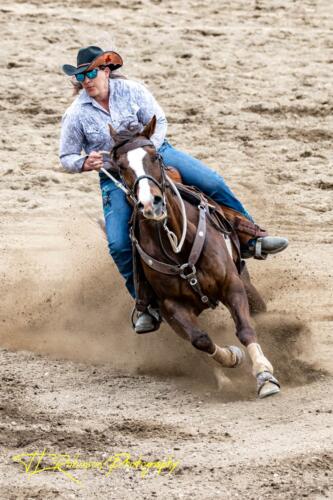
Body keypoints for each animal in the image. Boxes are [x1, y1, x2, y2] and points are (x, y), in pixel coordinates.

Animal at [105, 116, 278, 398]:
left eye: (155, 156)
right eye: (120, 167)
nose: (151, 204)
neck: (178, 247)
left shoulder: (232, 285)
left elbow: (245, 329)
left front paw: (265, 375)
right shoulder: (171, 307)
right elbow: (201, 340)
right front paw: (232, 358)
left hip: (245, 279)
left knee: (258, 310)